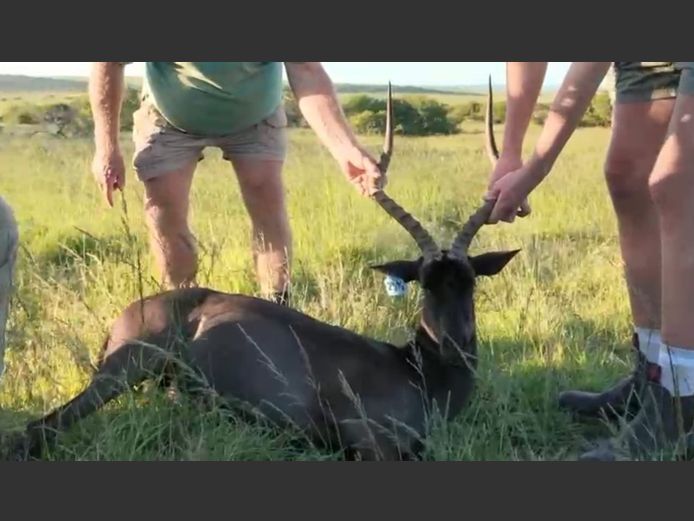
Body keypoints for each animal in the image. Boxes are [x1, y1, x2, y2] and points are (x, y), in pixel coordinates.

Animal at [7, 79, 519, 461]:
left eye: (469, 282)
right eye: (425, 285)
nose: (454, 344)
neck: (418, 373)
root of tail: (135, 309)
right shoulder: (368, 441)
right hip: (122, 370)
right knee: (38, 427)